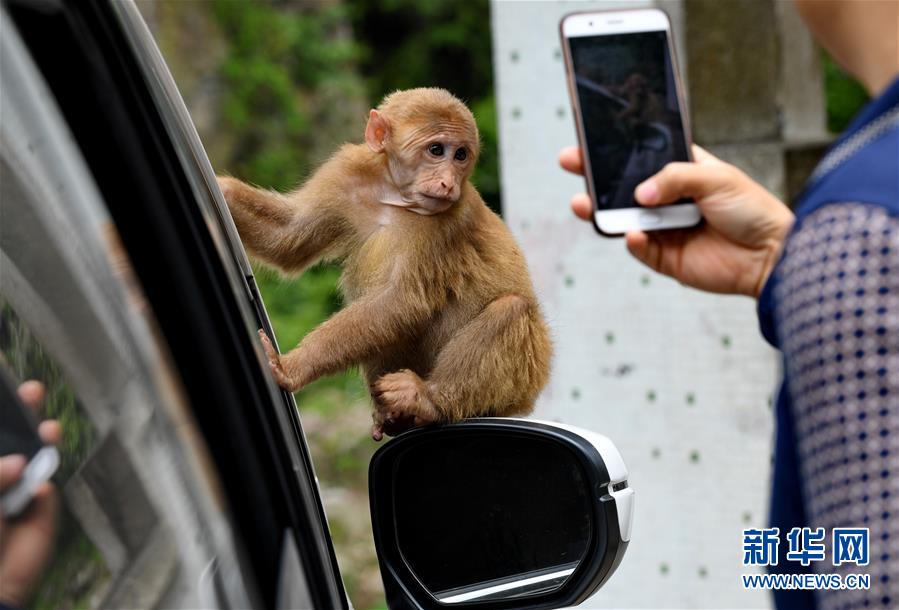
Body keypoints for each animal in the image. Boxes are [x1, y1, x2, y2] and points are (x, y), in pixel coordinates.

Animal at [220, 86, 556, 436]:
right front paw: (222, 189)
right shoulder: (344, 173)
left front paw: (293, 366)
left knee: (512, 308)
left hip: (527, 375)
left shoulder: (452, 219)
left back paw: (427, 400)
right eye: (436, 150)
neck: (394, 195)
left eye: (461, 155)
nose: (448, 182)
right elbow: (288, 238)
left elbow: (401, 299)